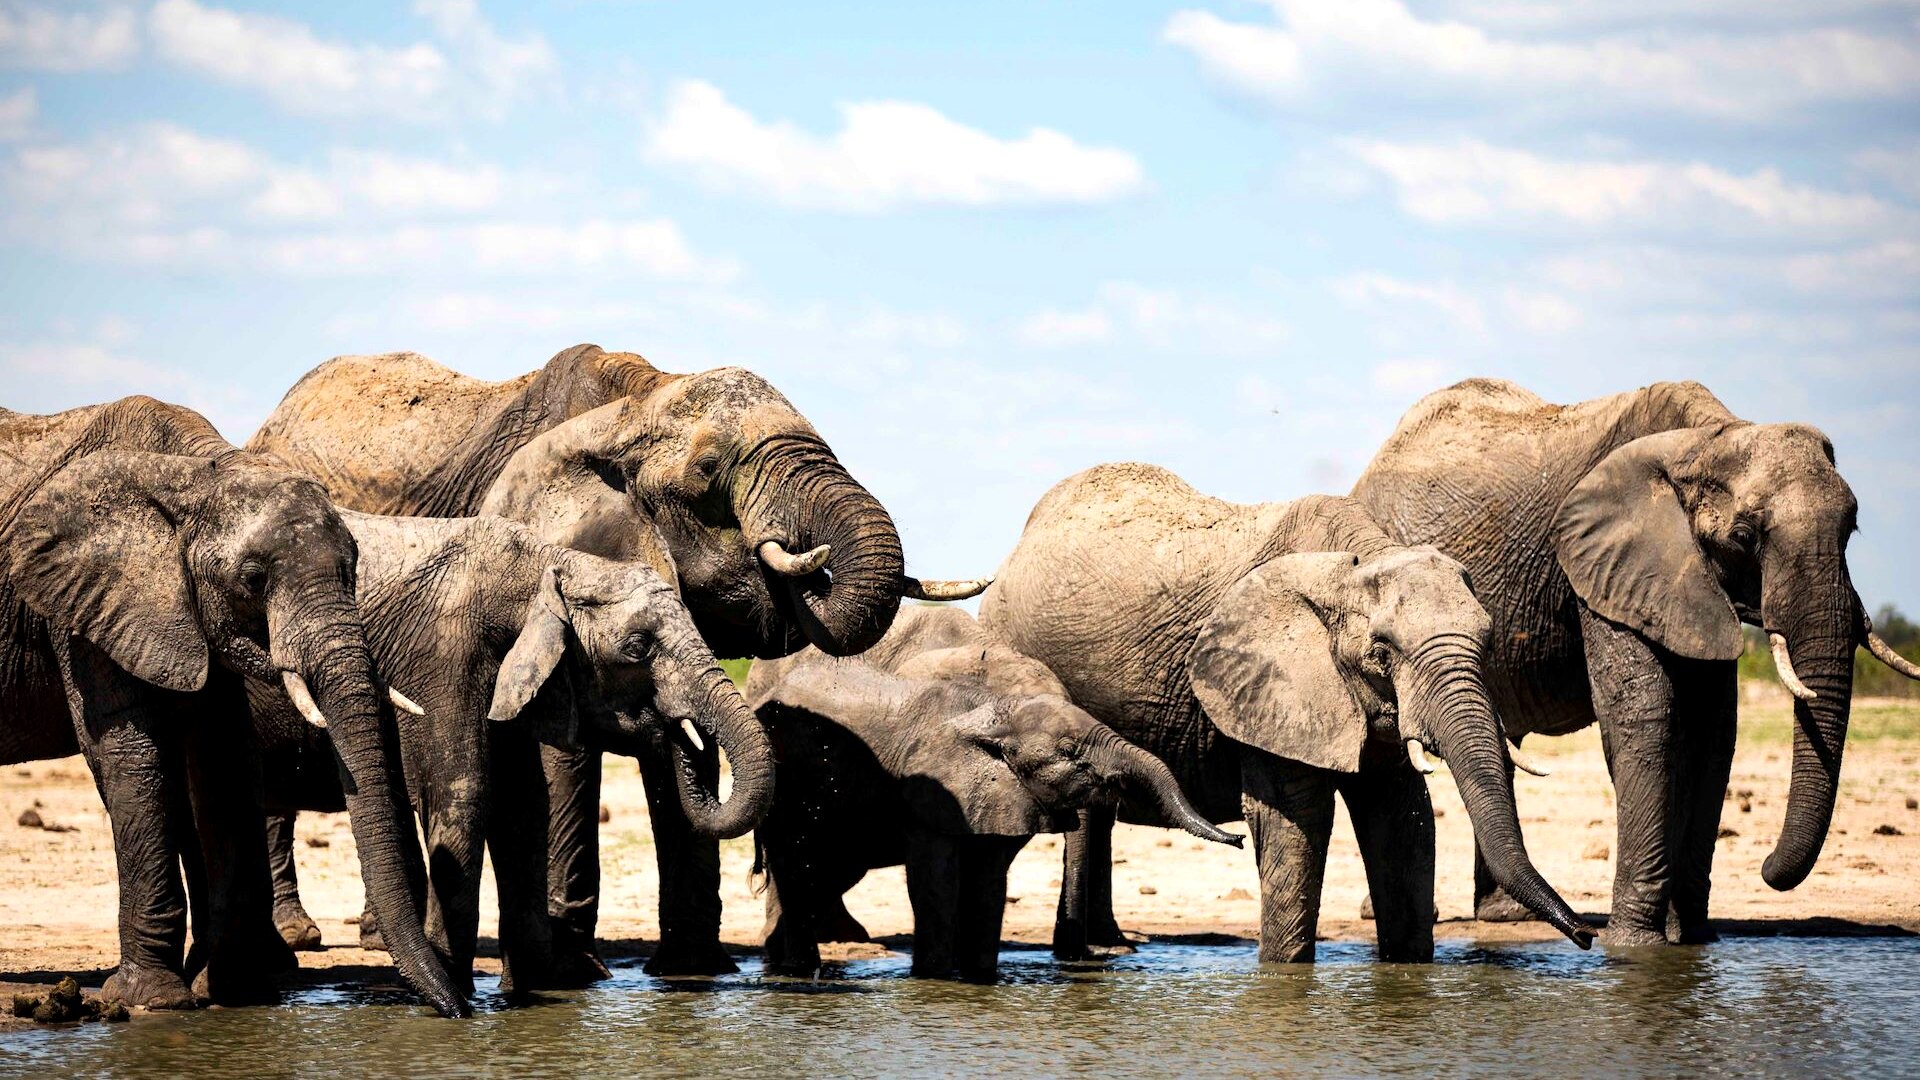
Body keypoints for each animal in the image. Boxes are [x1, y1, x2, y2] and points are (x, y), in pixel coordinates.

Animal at [0, 396, 465, 1016]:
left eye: (353, 569)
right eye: (254, 580)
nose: (459, 1010)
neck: (195, 472)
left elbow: (221, 751)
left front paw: (233, 993)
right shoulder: (82, 601)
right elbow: (129, 753)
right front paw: (153, 999)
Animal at [254, 510, 772, 994]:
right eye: (637, 648)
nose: (677, 726)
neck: (551, 567)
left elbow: (523, 806)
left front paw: (533, 988)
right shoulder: (442, 657)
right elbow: (463, 793)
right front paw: (455, 993)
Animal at [743, 605, 1238, 979]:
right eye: (1067, 752)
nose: (1237, 838)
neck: (992, 703)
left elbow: (988, 883)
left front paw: (981, 980)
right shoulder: (932, 793)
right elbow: (935, 883)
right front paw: (936, 982)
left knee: (826, 867)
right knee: (798, 861)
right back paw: (797, 968)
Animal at [980, 463, 1593, 962]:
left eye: (1488, 642)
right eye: (1383, 651)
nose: (1587, 936)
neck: (1354, 562)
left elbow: (1402, 816)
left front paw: (1406, 976)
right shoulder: (1270, 688)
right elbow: (1295, 819)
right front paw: (1285, 977)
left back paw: (1113, 948)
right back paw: (1086, 956)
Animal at [1351, 379, 1919, 945]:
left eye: (1852, 529)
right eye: (1744, 537)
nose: (1766, 869)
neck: (1708, 438)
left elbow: (1712, 730)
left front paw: (1693, 940)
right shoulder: (1603, 564)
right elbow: (1645, 716)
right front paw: (1636, 946)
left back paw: (1505, 915)